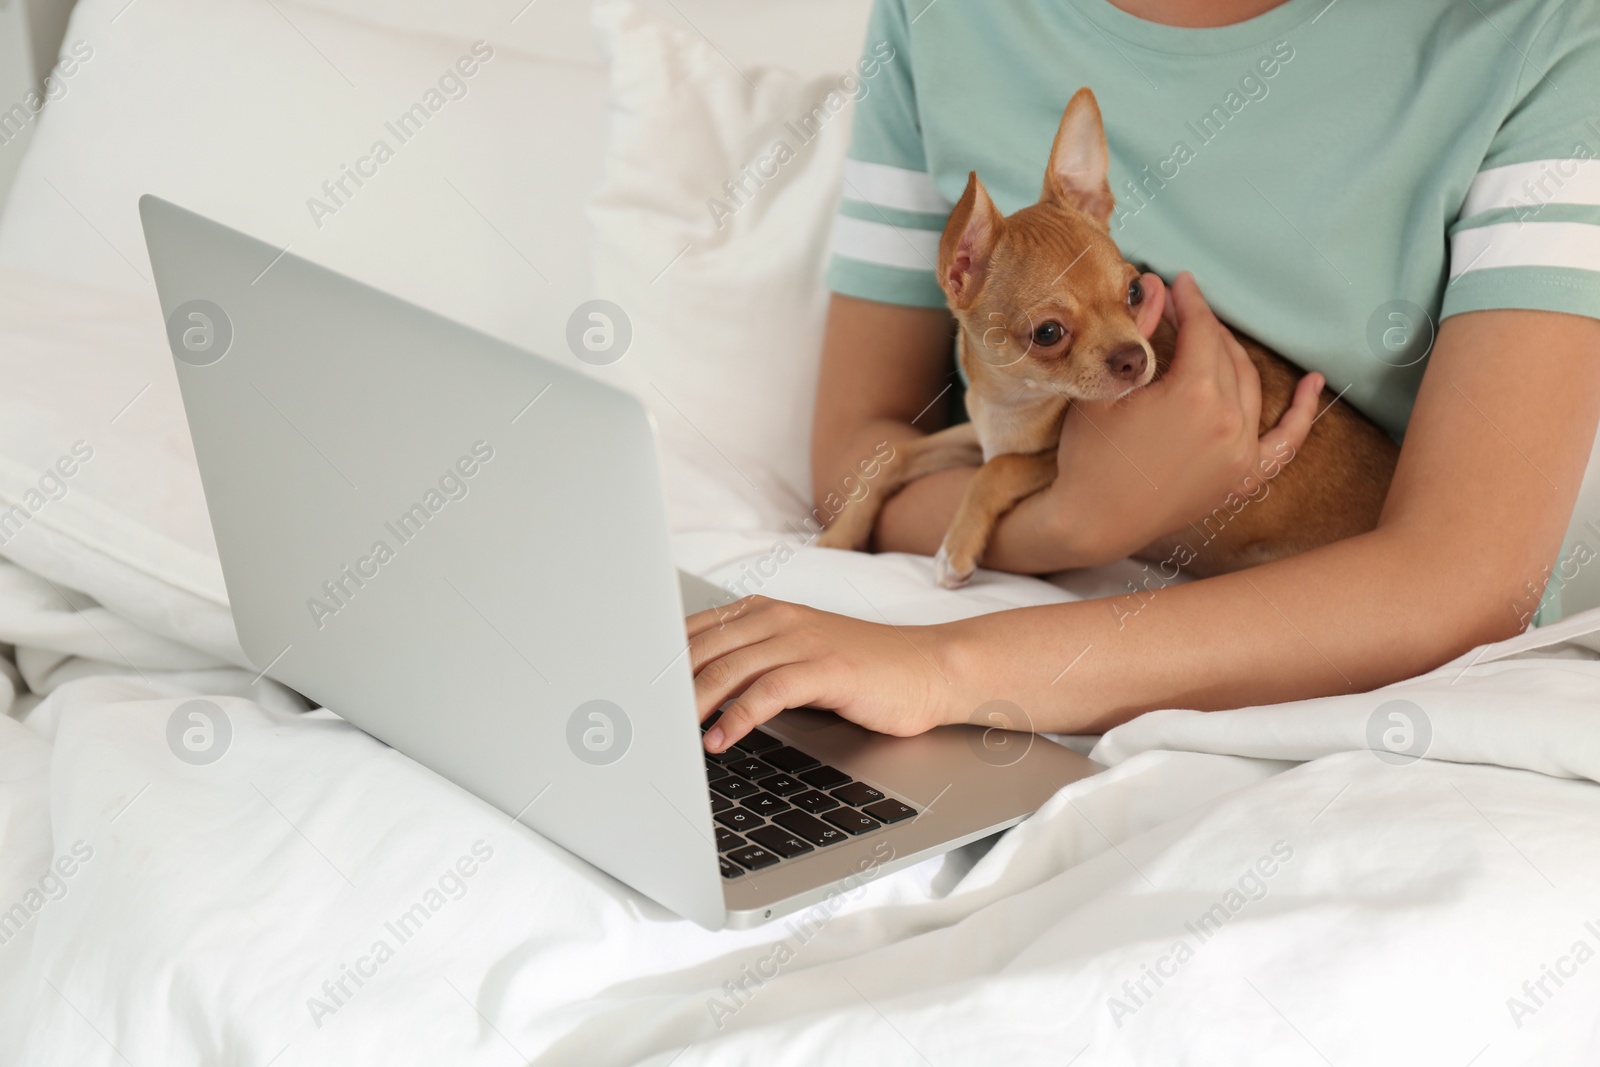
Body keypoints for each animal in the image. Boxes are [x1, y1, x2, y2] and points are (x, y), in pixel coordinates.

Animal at [819, 87, 1395, 588]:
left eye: (1136, 291)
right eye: (1048, 333)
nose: (1134, 358)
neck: (1014, 403)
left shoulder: (1046, 463)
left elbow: (999, 469)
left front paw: (955, 549)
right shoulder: (975, 436)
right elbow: (894, 455)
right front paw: (837, 538)